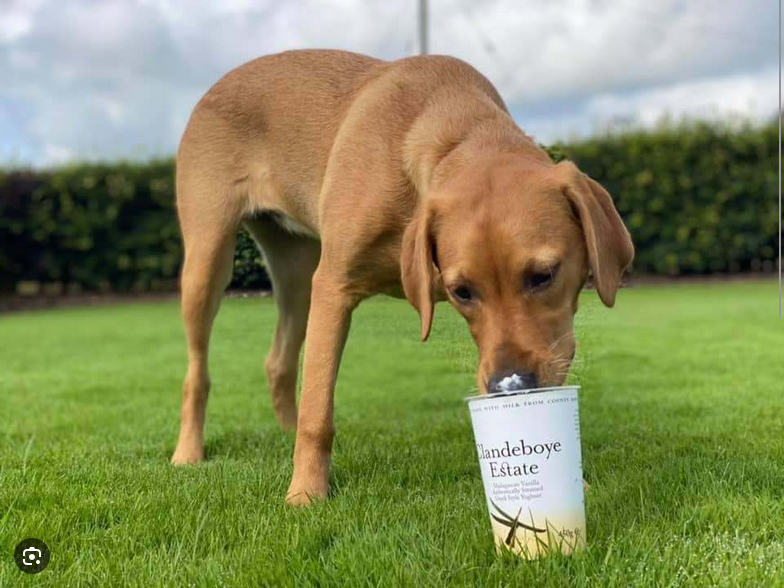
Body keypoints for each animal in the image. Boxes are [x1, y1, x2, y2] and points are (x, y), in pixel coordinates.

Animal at [168, 49, 632, 506]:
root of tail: (217, 84)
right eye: (462, 292)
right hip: (208, 263)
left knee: (278, 361)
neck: (451, 131)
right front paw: (305, 493)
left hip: (296, 277)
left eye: (543, 275)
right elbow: (319, 410)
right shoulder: (333, 287)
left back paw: (285, 430)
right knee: (197, 373)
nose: (510, 386)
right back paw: (189, 452)